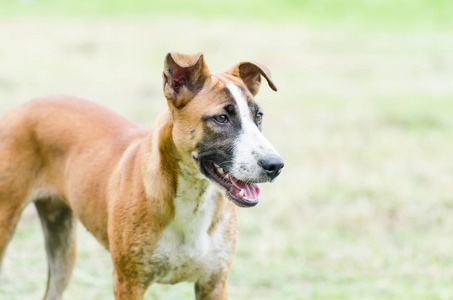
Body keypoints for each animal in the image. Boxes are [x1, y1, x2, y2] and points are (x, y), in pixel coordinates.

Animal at [0, 52, 282, 298]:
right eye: (221, 118)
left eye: (258, 116)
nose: (276, 165)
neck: (193, 198)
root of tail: (21, 107)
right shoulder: (128, 283)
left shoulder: (214, 284)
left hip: (62, 249)